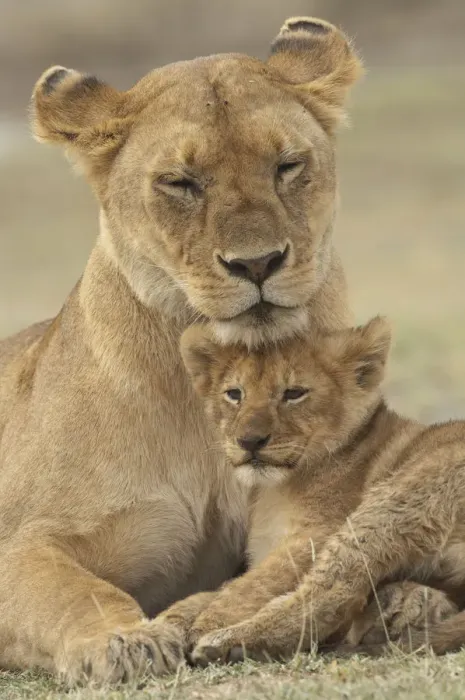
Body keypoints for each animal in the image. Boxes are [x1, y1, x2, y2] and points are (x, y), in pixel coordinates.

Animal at [168, 318, 465, 665]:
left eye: (294, 393)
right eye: (234, 394)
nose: (249, 441)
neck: (276, 488)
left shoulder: (315, 533)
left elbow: (255, 583)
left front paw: (206, 623)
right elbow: (225, 586)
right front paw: (171, 620)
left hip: (397, 499)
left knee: (333, 593)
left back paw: (228, 642)